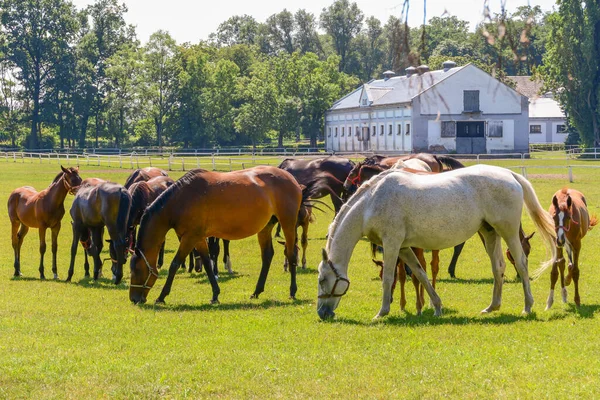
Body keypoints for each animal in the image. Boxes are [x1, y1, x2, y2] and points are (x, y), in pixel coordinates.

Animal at [130, 167, 310, 304]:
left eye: (136, 270)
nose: (134, 299)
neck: (181, 199)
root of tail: (292, 179)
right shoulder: (198, 238)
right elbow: (207, 263)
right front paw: (215, 294)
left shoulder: (190, 238)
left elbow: (175, 264)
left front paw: (161, 296)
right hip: (266, 227)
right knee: (267, 256)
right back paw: (256, 291)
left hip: (287, 223)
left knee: (291, 253)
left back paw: (292, 291)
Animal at [316, 164, 556, 320]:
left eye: (321, 280)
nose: (322, 313)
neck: (371, 201)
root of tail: (509, 174)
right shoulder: (404, 248)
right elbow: (421, 274)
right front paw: (437, 307)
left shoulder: (392, 244)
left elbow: (388, 278)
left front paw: (382, 312)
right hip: (489, 233)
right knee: (498, 266)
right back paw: (492, 307)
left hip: (508, 232)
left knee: (521, 263)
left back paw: (527, 306)